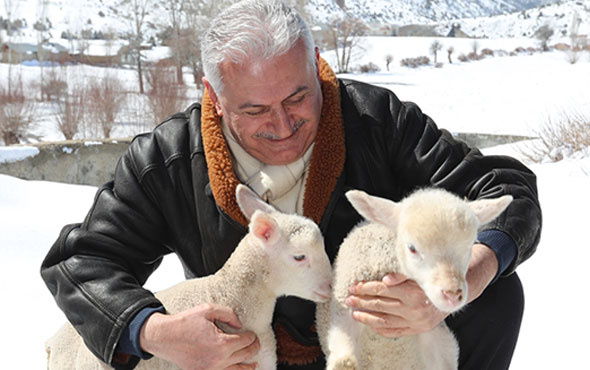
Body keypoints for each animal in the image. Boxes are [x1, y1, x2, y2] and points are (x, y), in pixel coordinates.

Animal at [316, 188, 516, 370]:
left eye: (470, 246)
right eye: (412, 248)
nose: (452, 294)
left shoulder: (438, 341)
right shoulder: (345, 314)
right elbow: (344, 362)